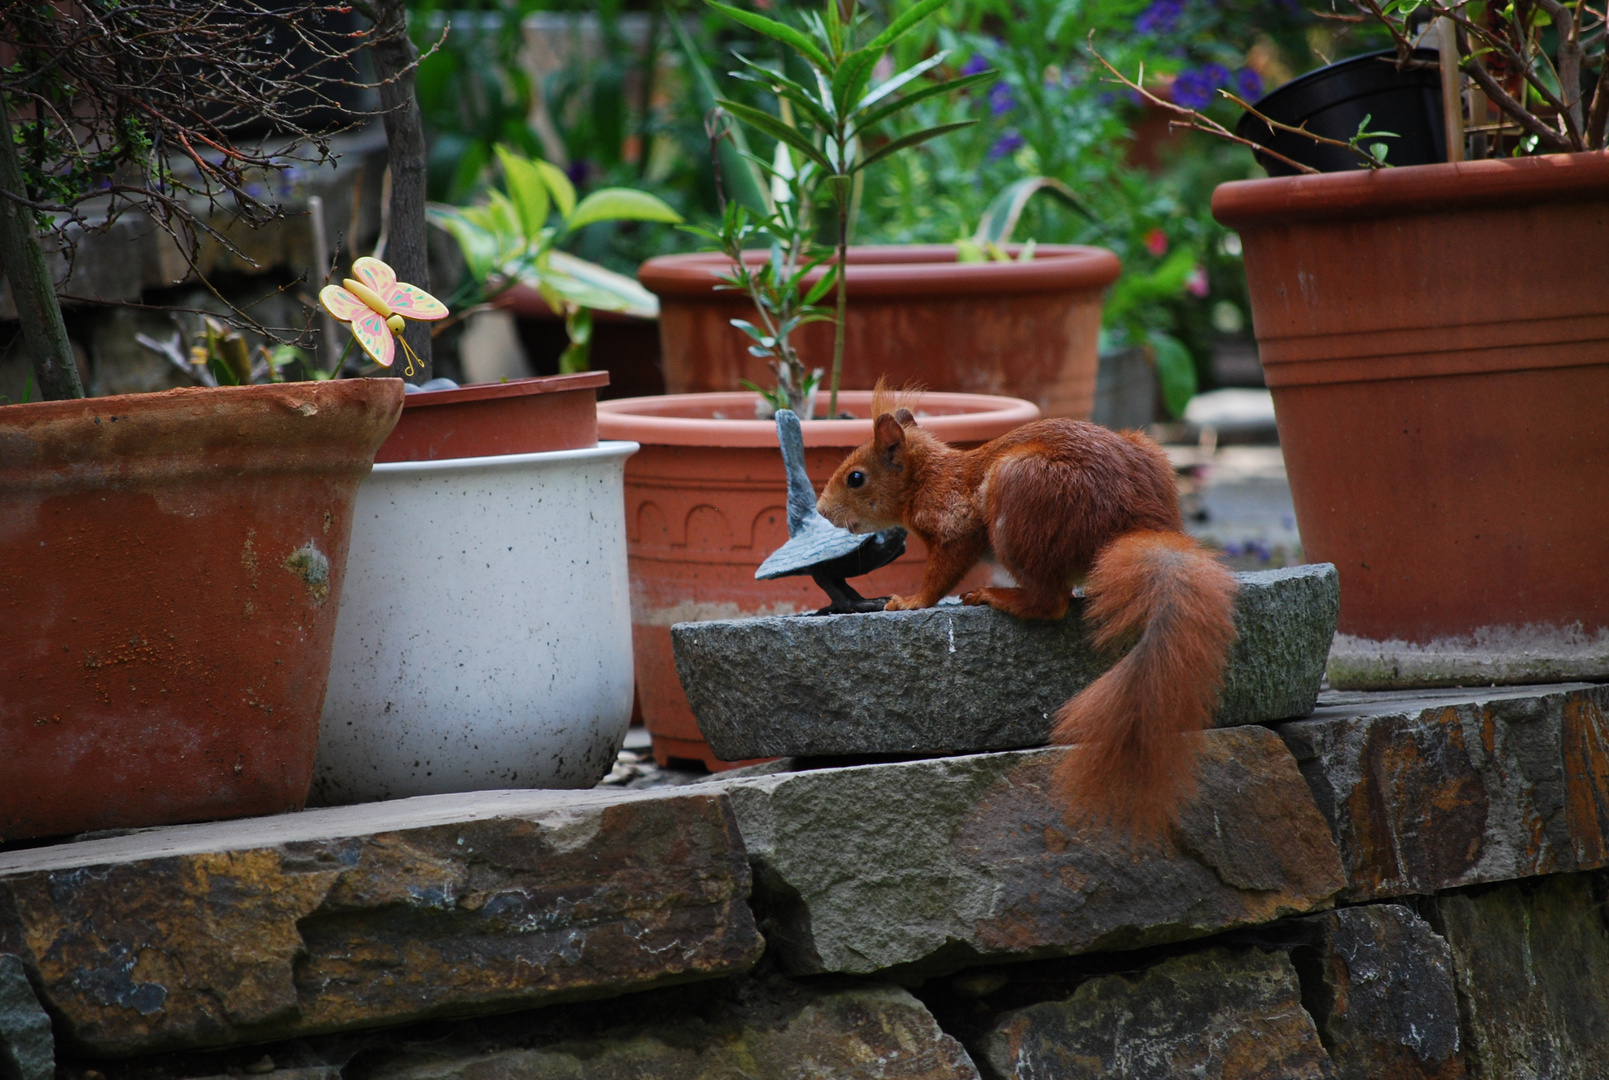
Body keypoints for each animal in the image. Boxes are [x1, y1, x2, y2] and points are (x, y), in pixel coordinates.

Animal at [823, 403, 1235, 836]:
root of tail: (1137, 524)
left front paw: (911, 600)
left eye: (856, 478)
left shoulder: (955, 523)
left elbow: (942, 572)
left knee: (1050, 601)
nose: (821, 510)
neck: (928, 476)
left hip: (1023, 495)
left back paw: (997, 596)